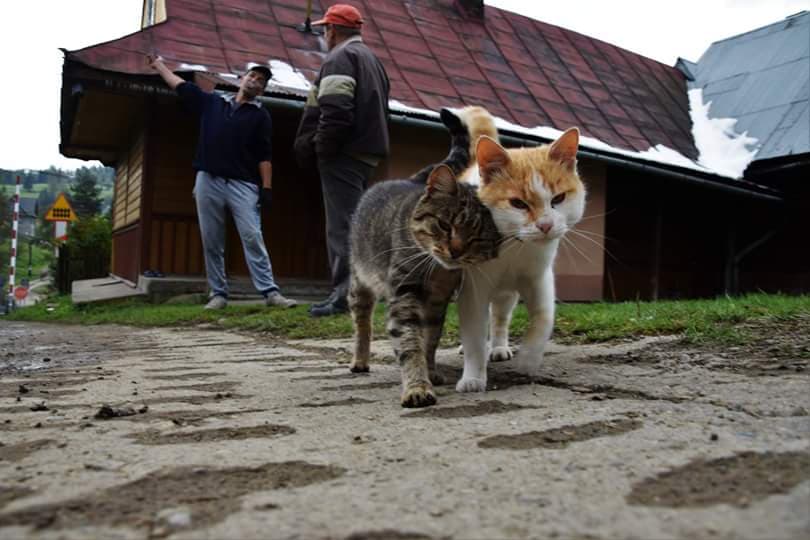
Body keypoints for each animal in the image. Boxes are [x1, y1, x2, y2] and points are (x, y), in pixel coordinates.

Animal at [346, 107, 498, 408]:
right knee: (362, 325)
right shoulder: (404, 297)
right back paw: (360, 360)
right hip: (359, 284)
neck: (436, 270)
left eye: (476, 238)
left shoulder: (438, 302)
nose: (455, 251)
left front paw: (431, 371)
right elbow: (410, 344)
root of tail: (411, 179)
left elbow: (431, 340)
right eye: (445, 225)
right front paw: (417, 387)